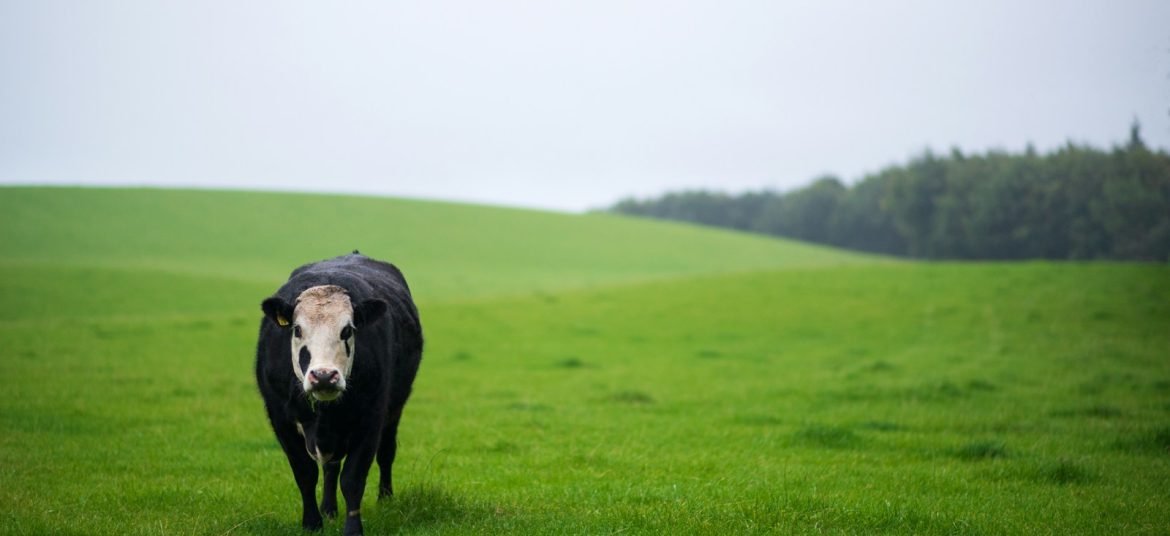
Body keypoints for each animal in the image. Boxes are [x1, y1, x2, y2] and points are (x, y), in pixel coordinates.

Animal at [253, 252, 423, 536]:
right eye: (297, 329)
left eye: (347, 330)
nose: (323, 376)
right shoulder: (280, 418)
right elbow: (305, 472)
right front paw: (312, 522)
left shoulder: (371, 417)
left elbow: (353, 478)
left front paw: (353, 529)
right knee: (330, 468)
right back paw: (329, 509)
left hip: (394, 410)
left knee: (386, 453)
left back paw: (385, 499)